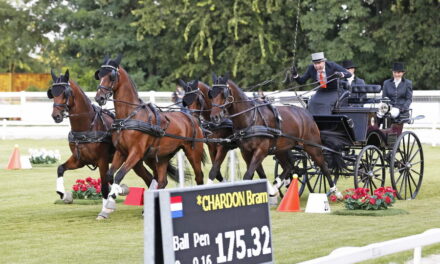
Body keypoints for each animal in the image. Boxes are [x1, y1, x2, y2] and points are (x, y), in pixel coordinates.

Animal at [48, 68, 157, 219]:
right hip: (136, 162)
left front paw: (106, 208)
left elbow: (105, 185)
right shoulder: (79, 160)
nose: (56, 116)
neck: (87, 126)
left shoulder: (102, 160)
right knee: (148, 177)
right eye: (52, 93)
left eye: (65, 93)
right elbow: (60, 168)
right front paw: (64, 195)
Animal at [93, 54, 206, 209]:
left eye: (111, 76)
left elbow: (119, 174)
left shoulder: (136, 153)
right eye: (99, 75)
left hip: (193, 153)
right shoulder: (121, 152)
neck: (129, 116)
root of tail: (192, 117)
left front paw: (117, 192)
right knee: (162, 181)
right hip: (163, 156)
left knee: (199, 177)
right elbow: (110, 174)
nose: (99, 97)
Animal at [208, 73, 342, 197]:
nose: (214, 117)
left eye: (223, 93)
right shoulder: (245, 151)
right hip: (281, 149)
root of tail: (306, 114)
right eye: (211, 94)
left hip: (312, 146)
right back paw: (276, 187)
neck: (251, 118)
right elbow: (256, 173)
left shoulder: (261, 150)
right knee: (289, 166)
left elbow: (248, 175)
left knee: (323, 167)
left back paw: (335, 191)